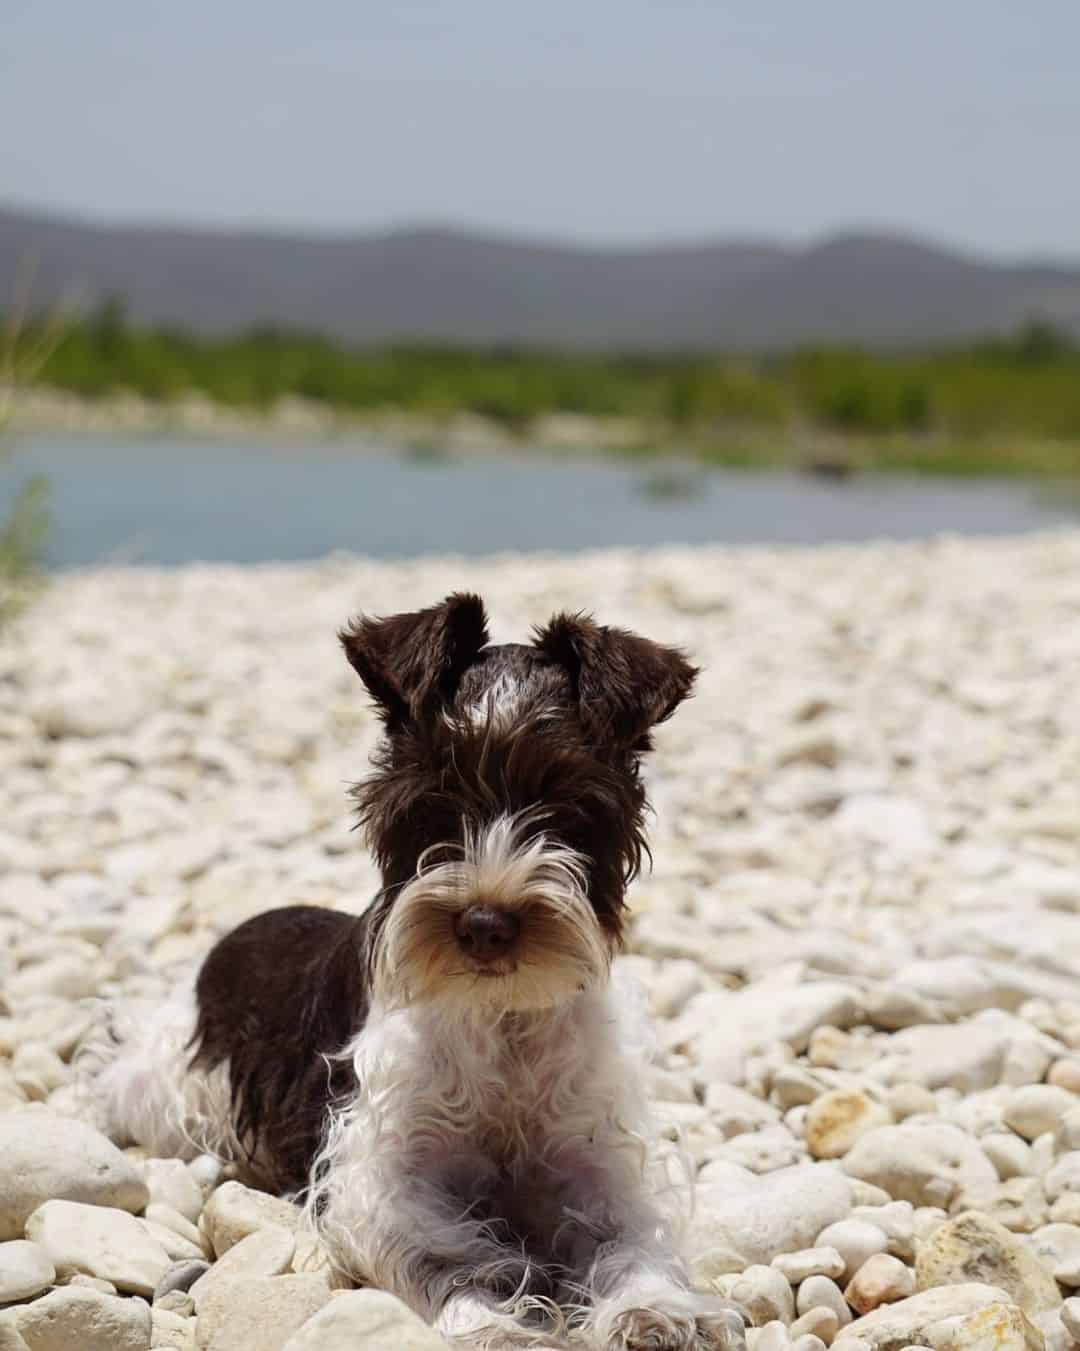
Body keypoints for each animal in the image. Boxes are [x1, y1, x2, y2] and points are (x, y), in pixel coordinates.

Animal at [90, 594, 746, 1351]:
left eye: (570, 806)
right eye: (432, 804)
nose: (486, 925)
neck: (501, 1016)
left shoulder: (600, 1160)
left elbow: (631, 1238)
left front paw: (656, 1311)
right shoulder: (375, 1174)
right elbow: (442, 1250)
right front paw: (497, 1320)